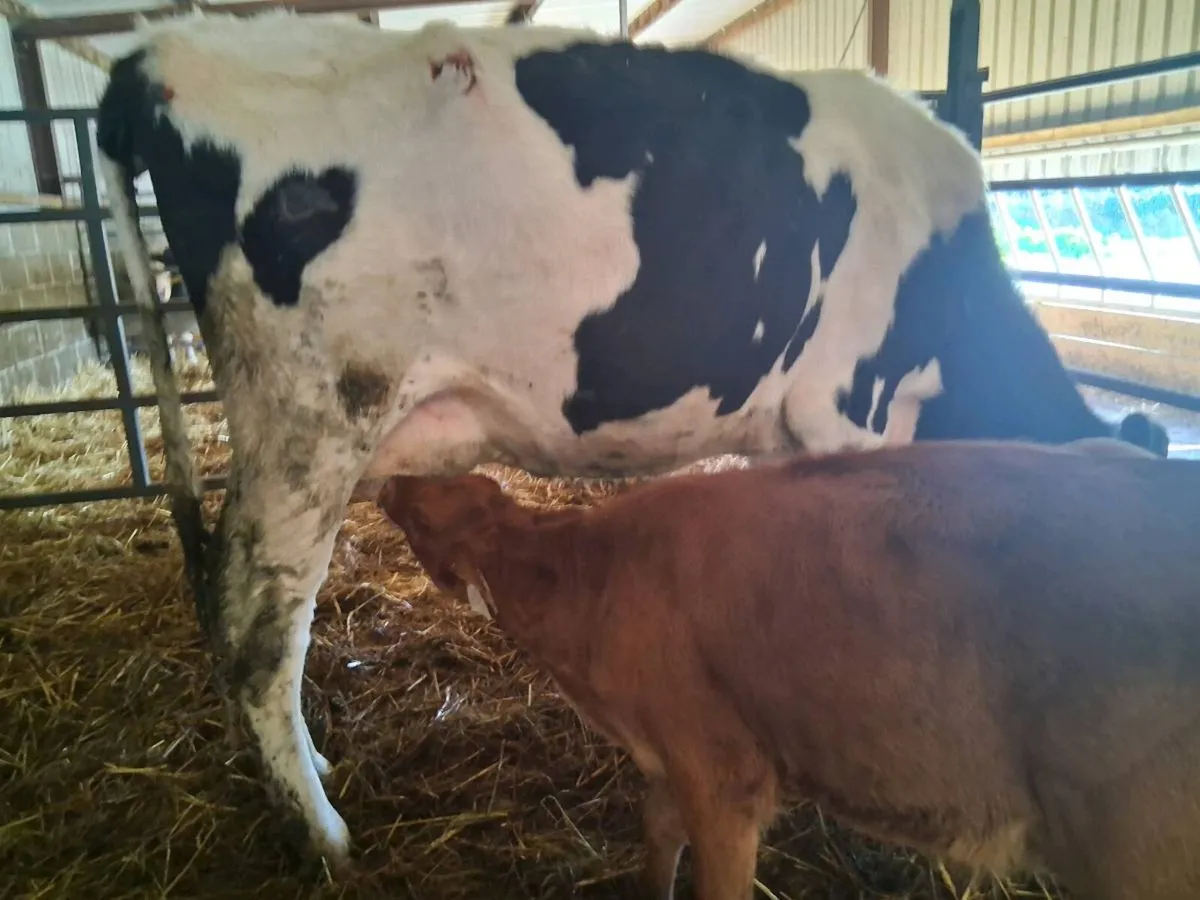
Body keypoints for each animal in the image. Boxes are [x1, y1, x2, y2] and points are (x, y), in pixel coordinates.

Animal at [376, 442, 1200, 900]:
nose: (390, 478)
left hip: (1139, 847)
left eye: (424, 520)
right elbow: (657, 831)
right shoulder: (673, 760)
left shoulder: (722, 770)